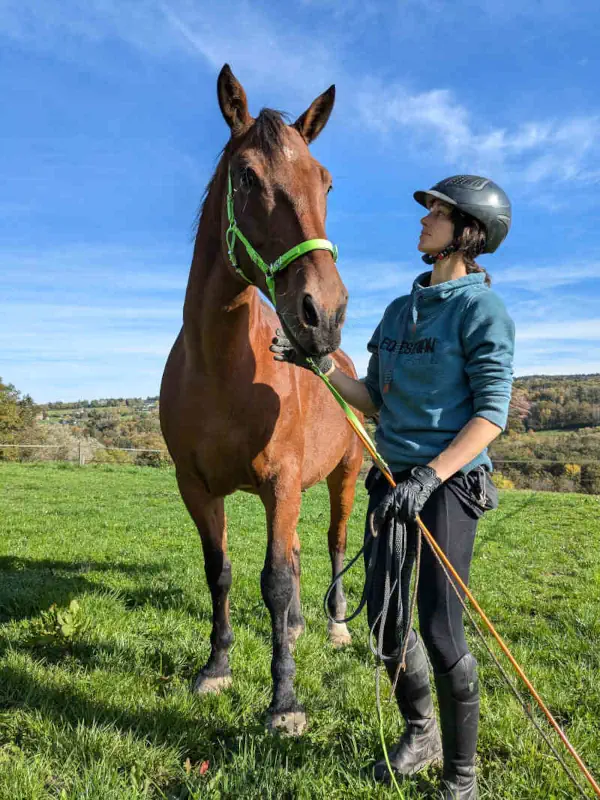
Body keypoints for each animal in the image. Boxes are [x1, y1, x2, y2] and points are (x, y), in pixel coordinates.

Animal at [160, 64, 363, 735]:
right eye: (247, 175)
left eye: (326, 181)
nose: (324, 314)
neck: (222, 367)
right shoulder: (197, 487)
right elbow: (220, 572)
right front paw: (217, 667)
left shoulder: (281, 482)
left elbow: (273, 581)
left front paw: (285, 703)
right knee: (297, 554)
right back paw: (297, 627)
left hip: (344, 476)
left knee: (331, 544)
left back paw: (333, 626)